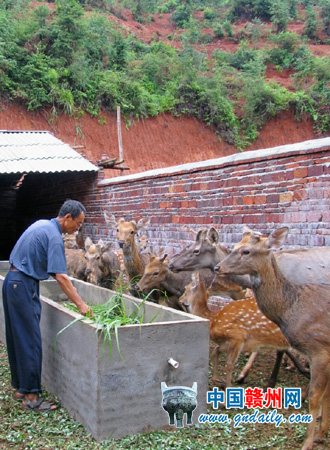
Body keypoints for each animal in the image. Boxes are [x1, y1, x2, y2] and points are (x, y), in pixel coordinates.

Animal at [217, 229, 330, 450]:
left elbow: (315, 397)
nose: (218, 267)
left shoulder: (320, 349)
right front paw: (321, 434)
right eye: (235, 246)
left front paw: (308, 442)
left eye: (246, 251)